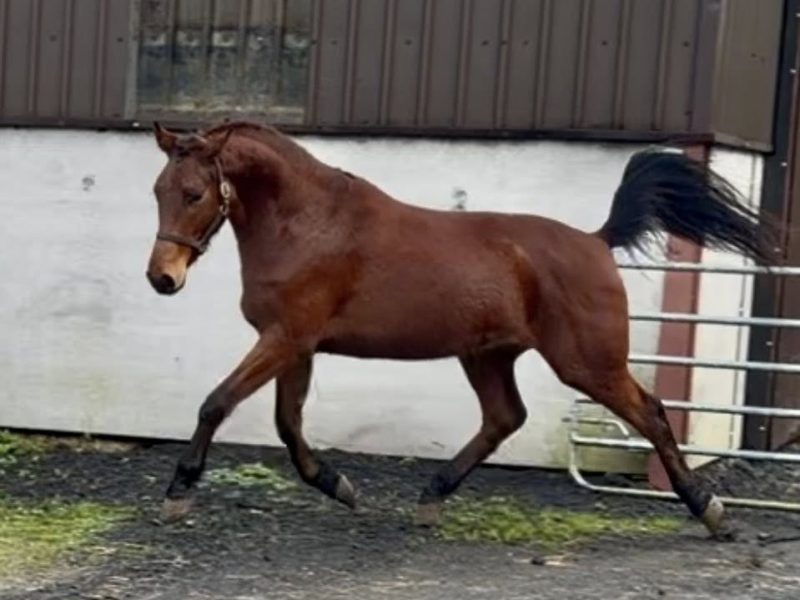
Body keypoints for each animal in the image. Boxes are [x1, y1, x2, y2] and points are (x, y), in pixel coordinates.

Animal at [146, 120, 774, 538]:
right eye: (157, 191)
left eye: (194, 193)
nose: (161, 278)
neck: (308, 224)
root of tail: (597, 241)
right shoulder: (295, 346)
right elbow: (288, 424)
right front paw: (339, 486)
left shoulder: (285, 340)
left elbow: (217, 403)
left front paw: (179, 491)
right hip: (488, 356)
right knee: (504, 418)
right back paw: (432, 496)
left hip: (587, 363)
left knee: (651, 413)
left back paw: (711, 512)